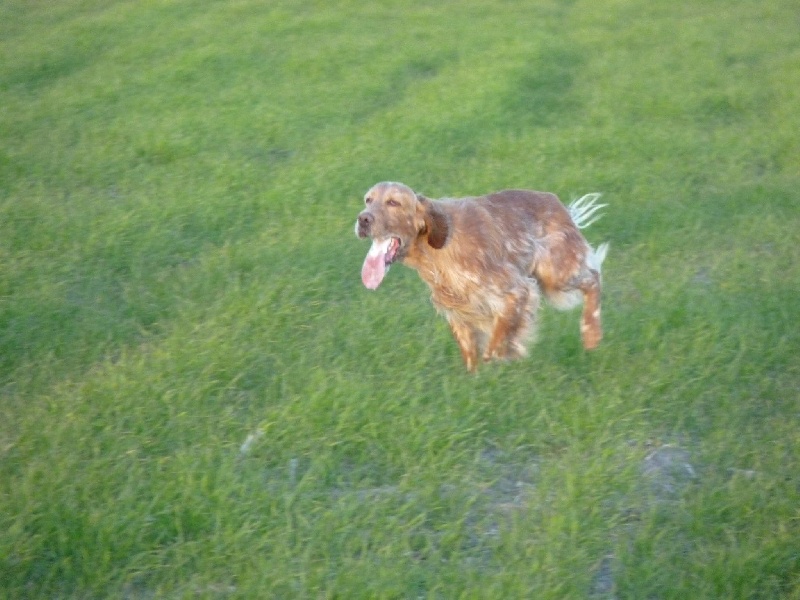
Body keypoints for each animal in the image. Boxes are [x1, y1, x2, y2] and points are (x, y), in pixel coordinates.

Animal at [354, 180, 608, 372]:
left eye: (393, 202)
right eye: (368, 200)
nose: (363, 219)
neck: (435, 250)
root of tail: (559, 204)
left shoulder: (515, 290)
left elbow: (497, 342)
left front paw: (504, 356)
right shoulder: (458, 313)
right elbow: (472, 356)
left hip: (554, 271)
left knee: (594, 277)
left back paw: (591, 334)